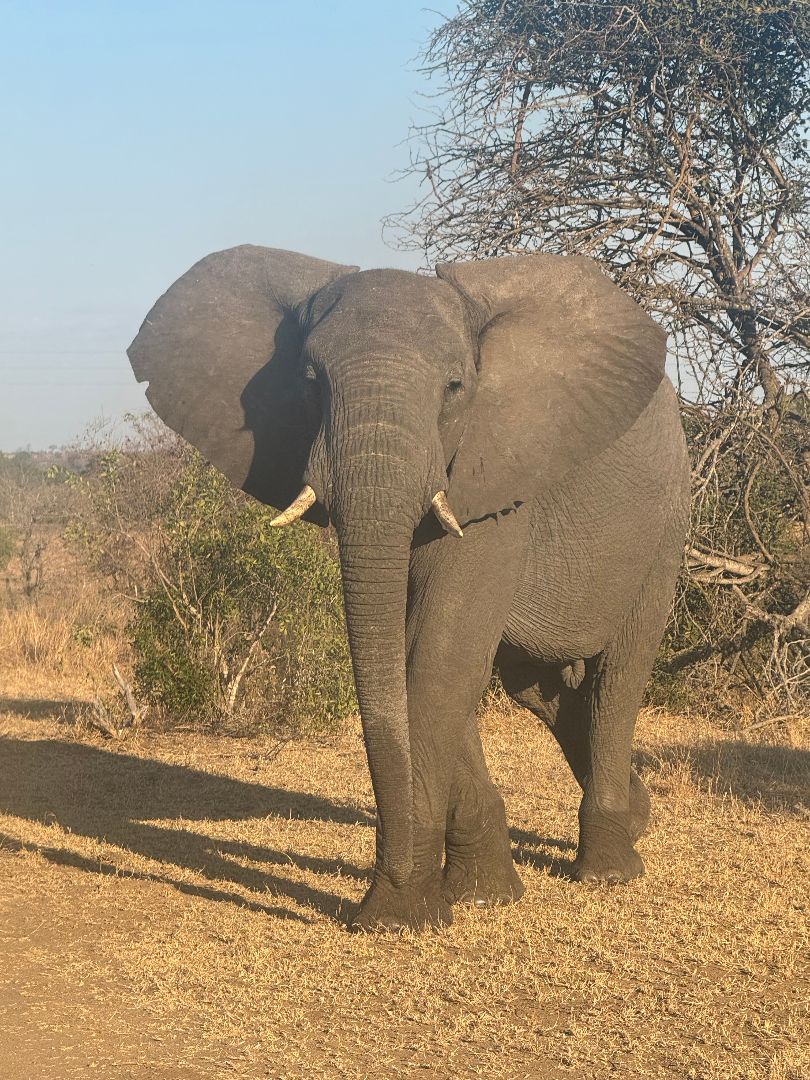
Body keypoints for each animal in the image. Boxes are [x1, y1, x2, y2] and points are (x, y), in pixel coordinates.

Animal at [127, 245, 690, 932]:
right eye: (310, 381)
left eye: (454, 389)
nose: (385, 897)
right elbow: (420, 657)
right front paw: (477, 897)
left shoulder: (493, 479)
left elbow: (441, 656)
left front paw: (403, 914)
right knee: (538, 686)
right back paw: (637, 815)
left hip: (665, 527)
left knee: (620, 672)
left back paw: (609, 868)